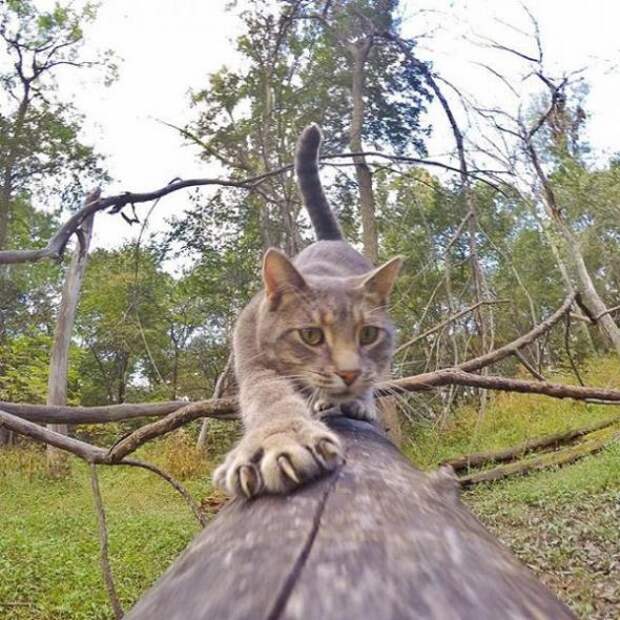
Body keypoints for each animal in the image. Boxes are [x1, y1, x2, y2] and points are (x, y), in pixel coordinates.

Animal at [213, 126, 402, 498]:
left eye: (368, 334)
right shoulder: (254, 360)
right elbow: (270, 398)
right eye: (311, 335)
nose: (349, 373)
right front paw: (280, 437)